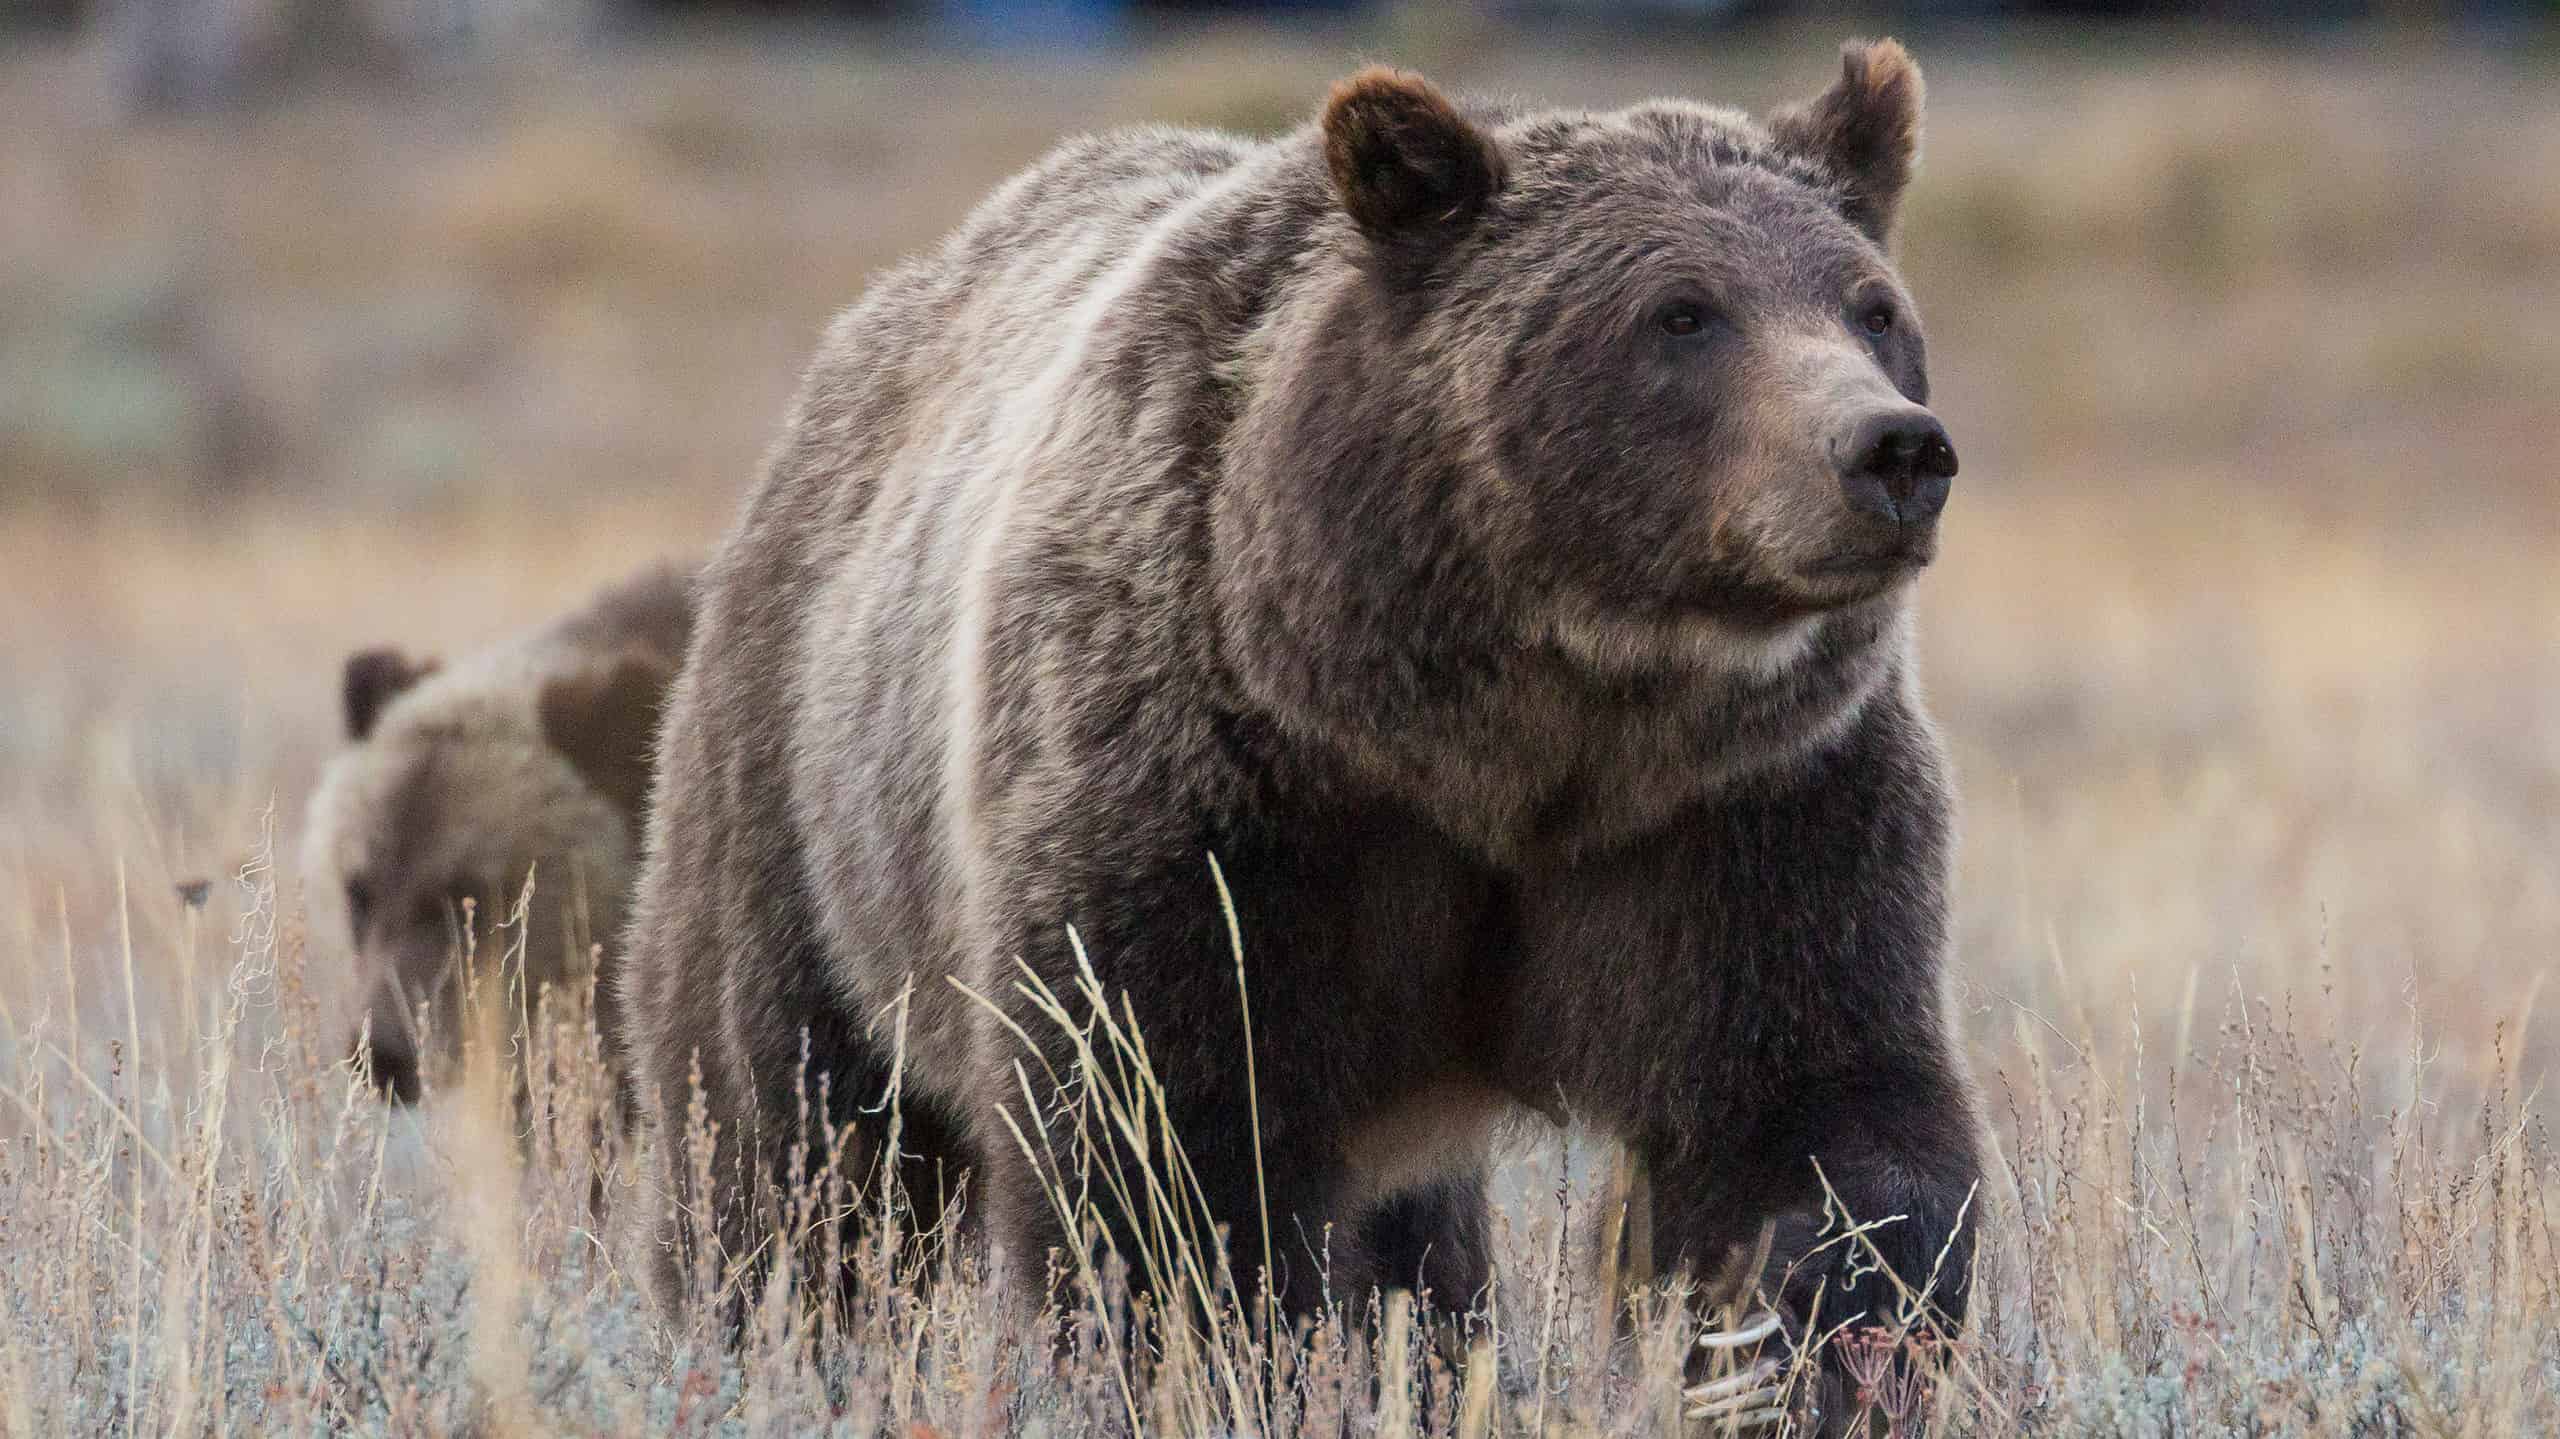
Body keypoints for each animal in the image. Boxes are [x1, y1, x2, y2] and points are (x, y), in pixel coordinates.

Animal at [620, 37, 1981, 1398]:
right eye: (1682, 312)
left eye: (1869, 306)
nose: (1891, 448)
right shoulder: (1216, 788)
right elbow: (1167, 1140)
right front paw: (1212, 1347)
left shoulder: (1742, 804)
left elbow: (1809, 1098)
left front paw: (1785, 1338)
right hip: (804, 802)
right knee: (792, 1136)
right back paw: (764, 1330)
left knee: (1420, 1243)